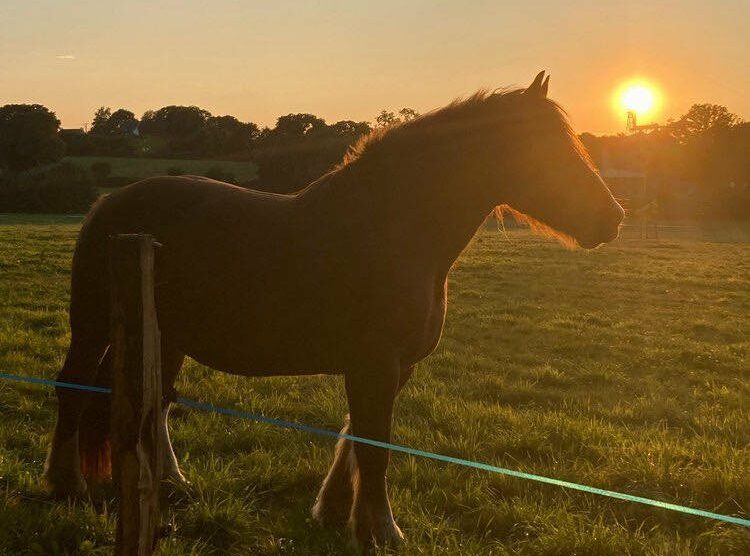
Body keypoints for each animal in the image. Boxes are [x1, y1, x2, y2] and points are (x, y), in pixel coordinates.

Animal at [44, 72, 624, 547]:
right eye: (546, 149)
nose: (613, 218)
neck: (389, 230)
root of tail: (107, 205)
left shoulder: (393, 367)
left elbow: (356, 439)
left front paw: (336, 512)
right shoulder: (374, 364)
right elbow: (374, 447)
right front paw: (382, 531)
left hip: (166, 337)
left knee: (156, 403)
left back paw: (171, 484)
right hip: (93, 327)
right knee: (73, 389)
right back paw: (67, 486)